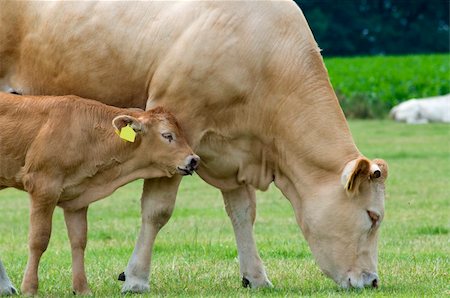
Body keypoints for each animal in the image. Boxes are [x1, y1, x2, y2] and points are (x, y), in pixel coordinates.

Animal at [0, 93, 199, 296]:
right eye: (167, 135)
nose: (193, 160)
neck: (84, 133)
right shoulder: (43, 187)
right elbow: (38, 240)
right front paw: (30, 288)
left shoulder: (77, 200)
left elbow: (79, 241)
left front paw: (82, 288)